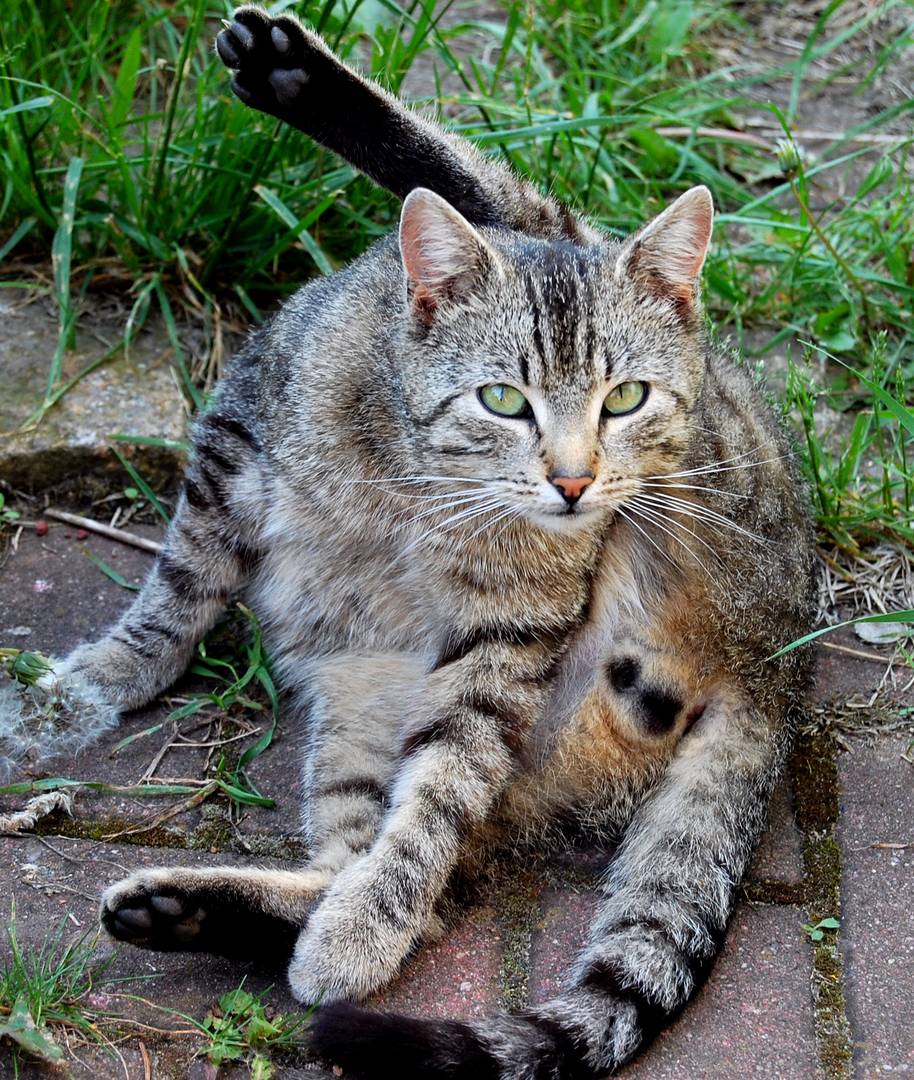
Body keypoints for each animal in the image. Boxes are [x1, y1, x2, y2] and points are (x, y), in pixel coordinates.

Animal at [35, 10, 821, 1080]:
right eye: (502, 399)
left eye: (624, 397)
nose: (573, 481)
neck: (419, 475)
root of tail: (782, 661)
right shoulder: (238, 436)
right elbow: (179, 586)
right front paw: (107, 679)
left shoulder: (504, 637)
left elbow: (432, 808)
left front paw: (364, 929)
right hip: (367, 699)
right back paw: (194, 909)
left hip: (684, 492)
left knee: (520, 200)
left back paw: (295, 73)